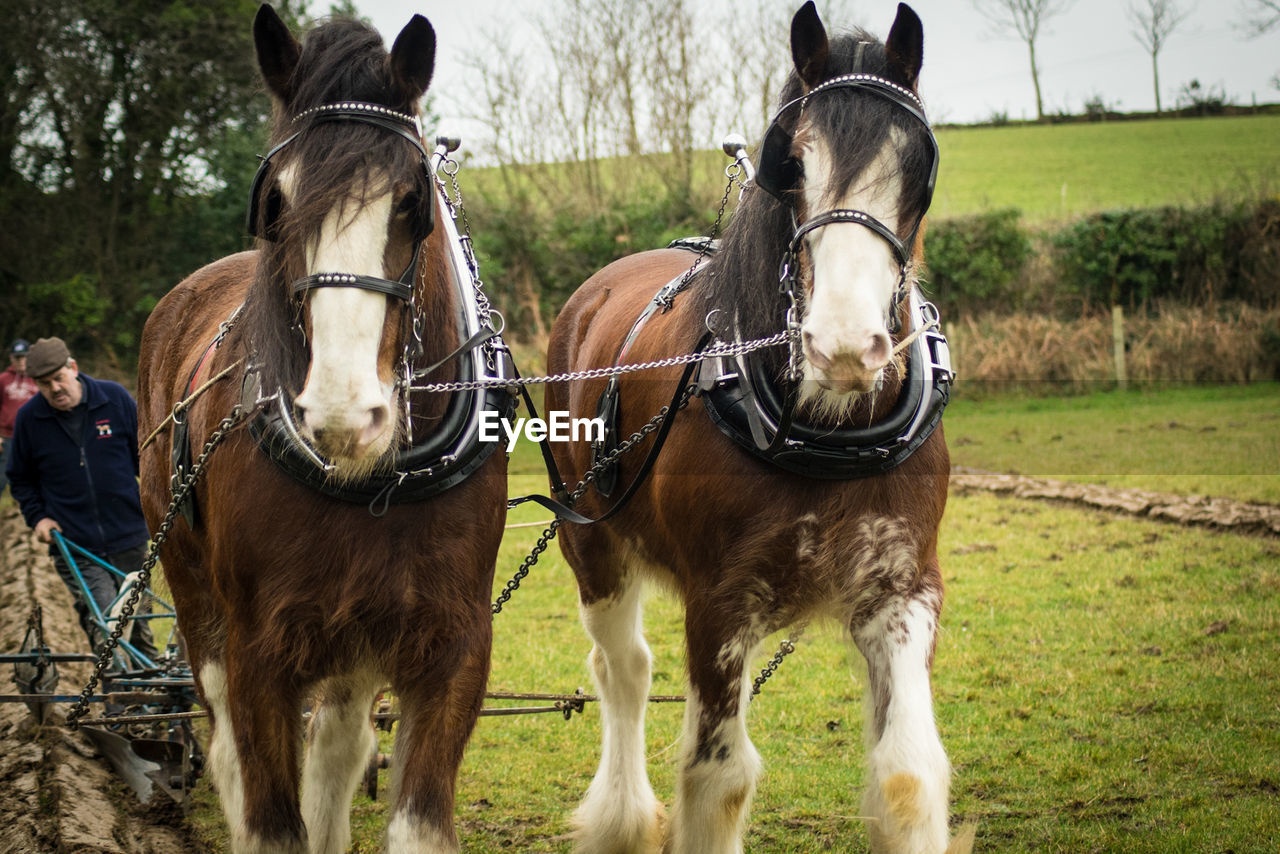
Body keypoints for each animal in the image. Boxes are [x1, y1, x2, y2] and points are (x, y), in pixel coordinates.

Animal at [136, 8, 504, 854]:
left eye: (411, 200)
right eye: (276, 200)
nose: (342, 412)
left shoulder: (455, 646)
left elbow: (410, 818)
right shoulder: (260, 655)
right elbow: (271, 815)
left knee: (337, 745)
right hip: (192, 586)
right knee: (226, 748)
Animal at [542, 5, 967, 854]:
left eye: (918, 168)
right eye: (791, 164)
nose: (844, 345)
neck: (819, 436)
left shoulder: (901, 588)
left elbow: (907, 775)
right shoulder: (720, 603)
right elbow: (719, 778)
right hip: (591, 542)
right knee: (623, 670)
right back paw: (621, 816)